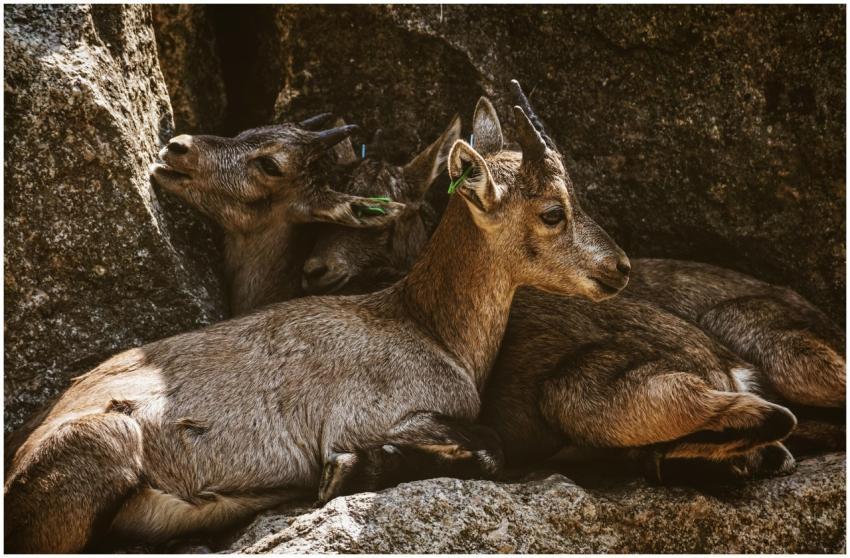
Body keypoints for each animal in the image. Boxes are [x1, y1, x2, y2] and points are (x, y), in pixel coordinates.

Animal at [4, 92, 631, 552]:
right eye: (553, 212)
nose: (620, 267)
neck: (427, 326)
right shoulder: (373, 414)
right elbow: (489, 446)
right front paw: (352, 471)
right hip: (107, 438)